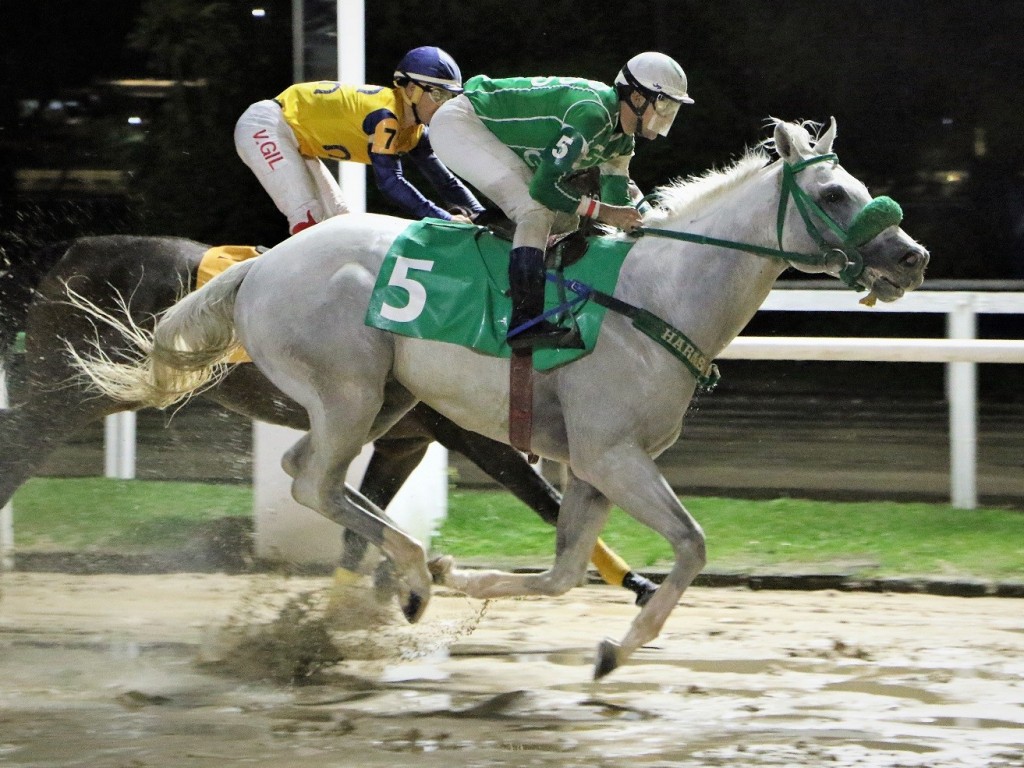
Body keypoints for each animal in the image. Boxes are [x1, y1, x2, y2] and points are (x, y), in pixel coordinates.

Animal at [0, 234, 651, 602]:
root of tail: (75, 253)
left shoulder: (403, 443)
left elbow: (357, 526)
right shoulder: (477, 438)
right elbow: (548, 503)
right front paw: (640, 586)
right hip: (68, 392)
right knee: (16, 452)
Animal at [74, 118, 929, 679]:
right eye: (835, 193)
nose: (911, 257)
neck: (657, 295)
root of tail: (261, 264)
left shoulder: (590, 466)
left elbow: (564, 572)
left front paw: (575, 630)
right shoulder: (612, 456)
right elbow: (691, 546)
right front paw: (614, 642)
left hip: (386, 401)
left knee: (310, 473)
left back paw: (411, 574)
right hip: (349, 387)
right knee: (315, 480)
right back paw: (411, 572)